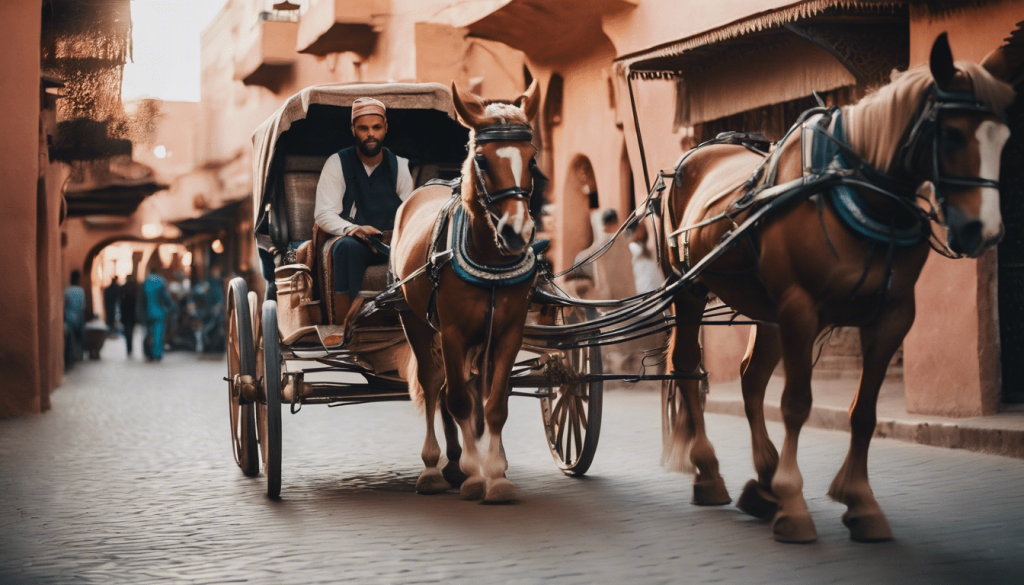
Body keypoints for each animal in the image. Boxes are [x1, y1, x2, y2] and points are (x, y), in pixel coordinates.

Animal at [389, 81, 544, 504]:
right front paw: (476, 475)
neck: (488, 258)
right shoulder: (452, 332)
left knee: (466, 392)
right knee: (434, 385)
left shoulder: (507, 333)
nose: (517, 233)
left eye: (533, 161)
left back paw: (457, 461)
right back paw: (434, 467)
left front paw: (497, 475)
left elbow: (494, 405)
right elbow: (456, 399)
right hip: (415, 321)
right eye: (482, 160)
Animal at [659, 34, 1011, 540]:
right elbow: (796, 403)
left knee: (750, 379)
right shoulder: (800, 309)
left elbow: (863, 412)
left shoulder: (893, 316)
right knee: (688, 368)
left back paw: (762, 480)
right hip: (688, 290)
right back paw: (710, 473)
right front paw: (793, 503)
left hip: (765, 310)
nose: (984, 231)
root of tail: (695, 153)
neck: (859, 192)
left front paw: (860, 502)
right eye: (951, 134)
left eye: (1003, 138)